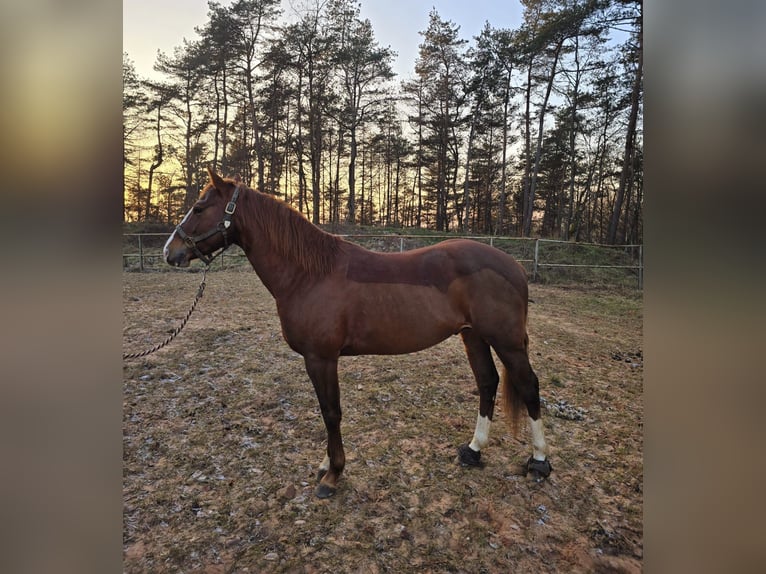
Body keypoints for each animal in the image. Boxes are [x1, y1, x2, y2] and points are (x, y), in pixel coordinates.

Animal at [164, 168, 552, 500]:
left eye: (199, 207)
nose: (170, 252)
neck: (309, 275)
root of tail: (514, 267)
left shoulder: (321, 358)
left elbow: (330, 412)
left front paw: (333, 475)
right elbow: (327, 412)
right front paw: (325, 465)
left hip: (507, 342)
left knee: (528, 386)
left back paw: (539, 463)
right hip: (473, 336)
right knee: (487, 383)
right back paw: (473, 452)